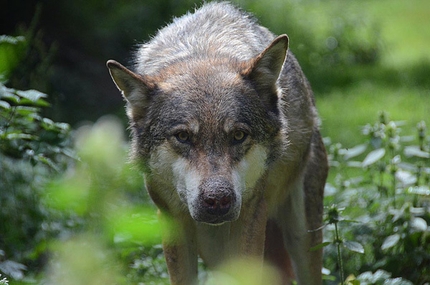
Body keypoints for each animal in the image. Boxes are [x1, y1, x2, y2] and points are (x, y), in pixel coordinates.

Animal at [106, 1, 328, 282]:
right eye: (183, 137)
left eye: (238, 135)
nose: (217, 199)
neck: (203, 51)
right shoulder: (171, 221)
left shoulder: (251, 216)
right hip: (216, 251)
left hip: (301, 236)